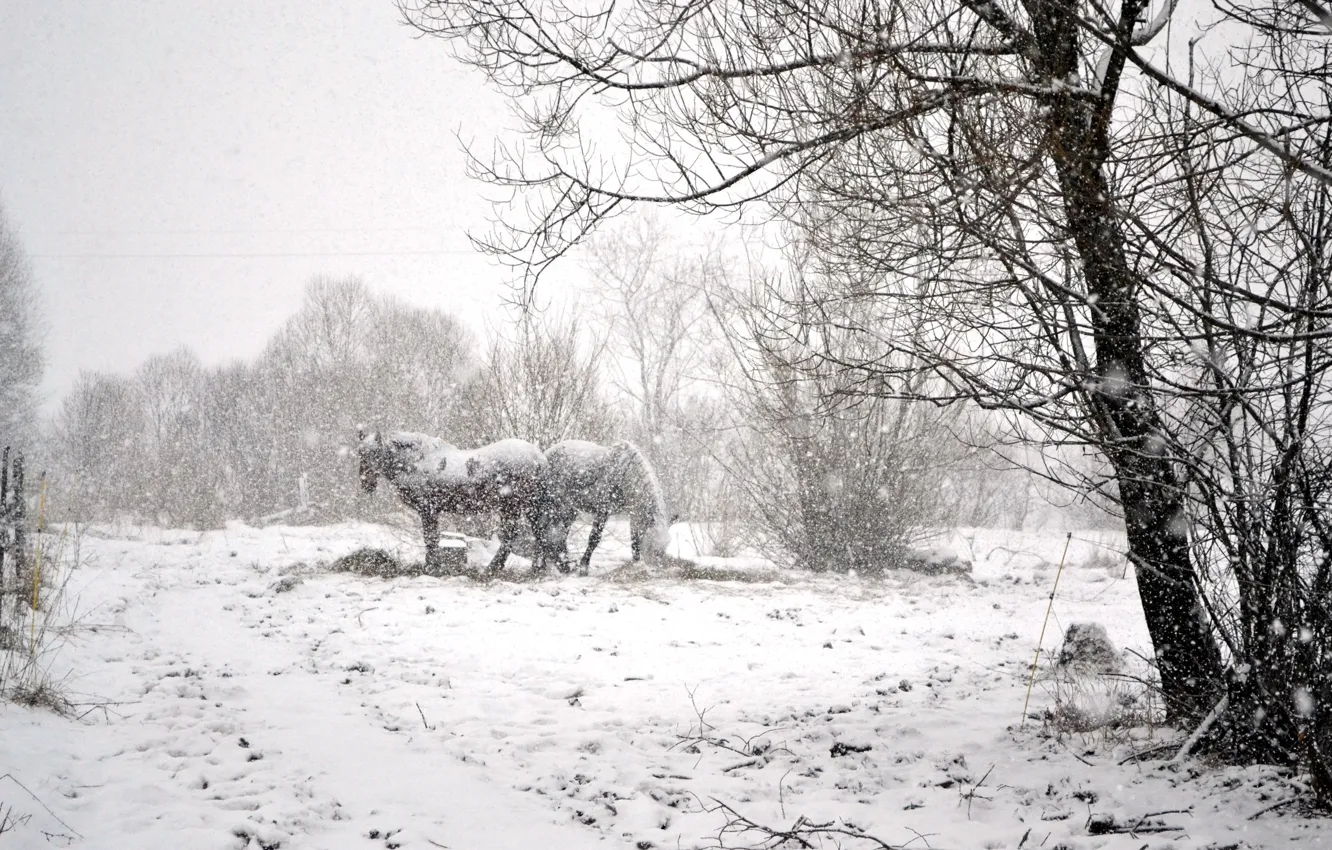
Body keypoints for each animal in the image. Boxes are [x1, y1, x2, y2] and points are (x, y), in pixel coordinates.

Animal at [357, 430, 553, 574]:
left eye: (374, 453)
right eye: (360, 453)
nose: (366, 483)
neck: (417, 461)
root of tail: (540, 458)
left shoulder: (427, 509)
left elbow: (430, 538)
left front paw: (431, 566)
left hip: (515, 506)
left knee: (516, 536)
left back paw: (494, 569)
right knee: (536, 533)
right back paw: (533, 568)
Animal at [540, 439, 671, 575]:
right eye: (653, 549)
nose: (654, 570)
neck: (624, 473)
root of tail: (547, 453)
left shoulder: (634, 514)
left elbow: (634, 538)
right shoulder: (603, 510)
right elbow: (594, 538)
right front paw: (584, 567)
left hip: (571, 509)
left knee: (560, 533)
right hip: (557, 505)